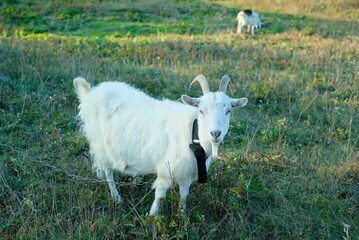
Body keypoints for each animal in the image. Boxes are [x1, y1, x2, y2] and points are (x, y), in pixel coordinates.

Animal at [73, 74, 248, 215]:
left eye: (229, 111)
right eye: (201, 110)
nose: (215, 133)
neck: (193, 134)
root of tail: (90, 93)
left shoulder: (186, 174)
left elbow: (184, 196)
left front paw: (182, 216)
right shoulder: (166, 171)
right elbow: (159, 196)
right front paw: (152, 217)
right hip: (102, 145)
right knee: (108, 171)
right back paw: (116, 197)